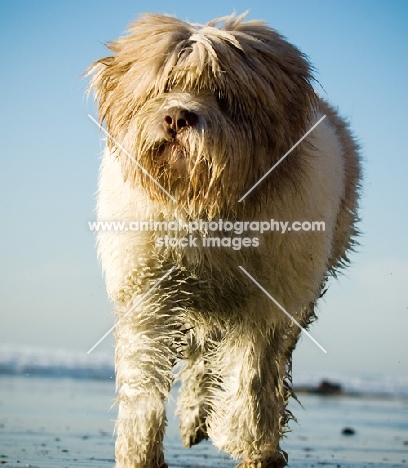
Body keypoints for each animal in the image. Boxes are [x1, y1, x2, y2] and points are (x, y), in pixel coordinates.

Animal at [88, 12, 360, 468]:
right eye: (164, 85)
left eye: (221, 94)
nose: (176, 118)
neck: (204, 206)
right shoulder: (149, 292)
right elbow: (144, 379)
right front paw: (140, 451)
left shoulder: (267, 301)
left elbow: (252, 373)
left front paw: (247, 441)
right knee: (201, 357)